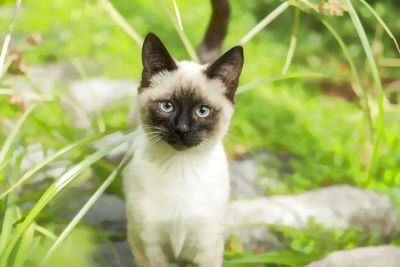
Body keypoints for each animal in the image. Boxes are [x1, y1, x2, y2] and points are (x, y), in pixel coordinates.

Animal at [122, 32, 244, 266]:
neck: (180, 168)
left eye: (202, 111)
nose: (182, 130)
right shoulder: (148, 245)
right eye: (167, 106)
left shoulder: (206, 247)